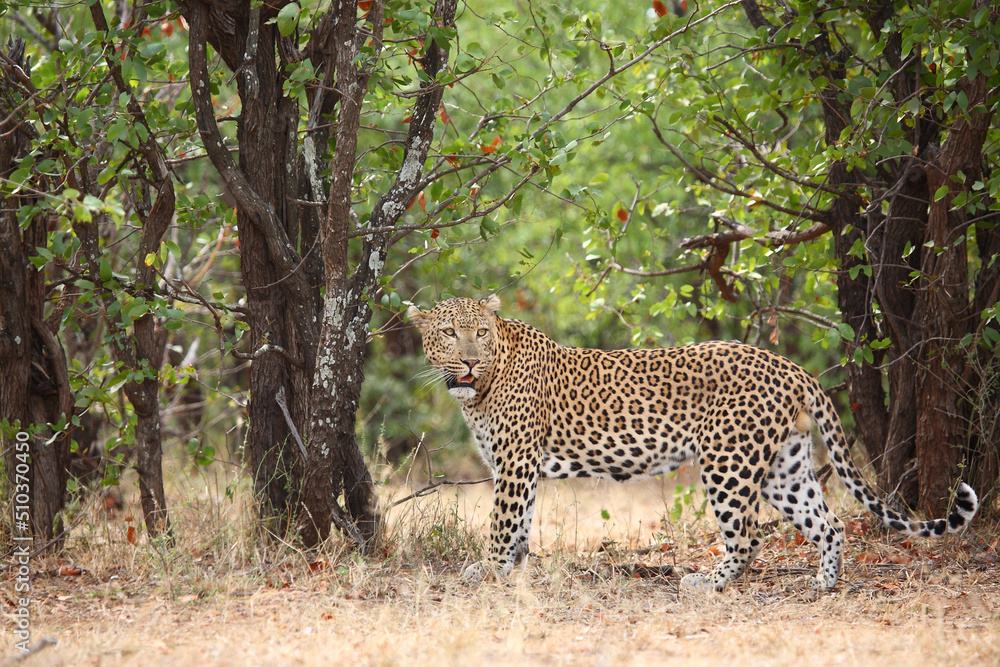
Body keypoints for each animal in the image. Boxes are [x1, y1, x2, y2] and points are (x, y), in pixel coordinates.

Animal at [407, 295, 979, 591]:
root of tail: (792, 367)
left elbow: (503, 522)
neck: (480, 387)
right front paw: (514, 570)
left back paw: (709, 583)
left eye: (480, 333)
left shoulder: (516, 461)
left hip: (728, 461)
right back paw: (825, 583)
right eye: (449, 333)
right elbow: (521, 523)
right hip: (785, 468)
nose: (470, 361)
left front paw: (489, 569)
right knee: (829, 522)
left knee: (747, 535)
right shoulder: (519, 466)